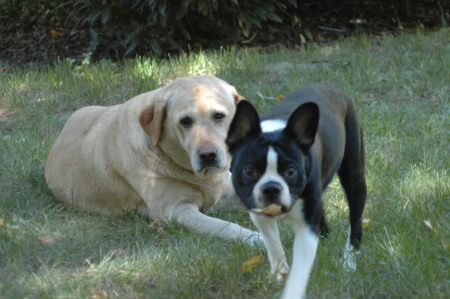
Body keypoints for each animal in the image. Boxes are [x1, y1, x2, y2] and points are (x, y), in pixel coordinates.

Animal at [44, 77, 262, 246]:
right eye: (185, 121)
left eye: (219, 116)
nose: (208, 155)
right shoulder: (176, 210)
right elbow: (223, 225)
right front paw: (254, 238)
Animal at [227, 83, 368, 298]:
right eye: (249, 171)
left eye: (291, 171)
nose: (271, 188)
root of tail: (330, 86)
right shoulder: (259, 215)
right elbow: (273, 245)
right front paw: (279, 273)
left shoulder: (306, 228)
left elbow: (300, 269)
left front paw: (291, 289)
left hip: (354, 175)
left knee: (355, 220)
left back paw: (349, 260)